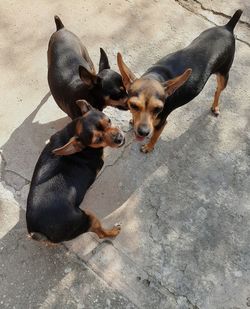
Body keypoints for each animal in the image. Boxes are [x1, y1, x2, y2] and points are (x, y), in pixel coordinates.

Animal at [25, 100, 125, 243]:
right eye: (98, 140)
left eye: (109, 121)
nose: (119, 138)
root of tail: (38, 232)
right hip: (87, 218)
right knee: (101, 234)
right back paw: (113, 231)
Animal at [117, 10, 242, 152]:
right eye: (133, 105)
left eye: (158, 109)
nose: (143, 132)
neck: (156, 76)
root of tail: (228, 27)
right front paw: (133, 119)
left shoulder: (161, 123)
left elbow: (155, 136)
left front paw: (148, 147)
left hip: (224, 75)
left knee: (218, 90)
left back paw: (215, 106)